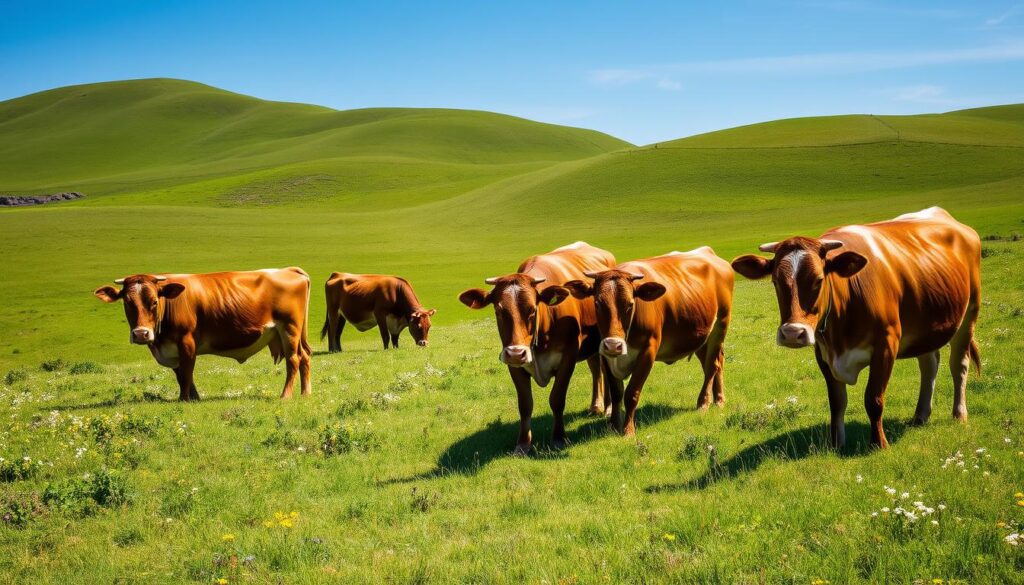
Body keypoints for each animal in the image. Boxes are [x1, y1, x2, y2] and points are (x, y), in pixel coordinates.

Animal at [95, 268, 311, 401]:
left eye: (154, 301)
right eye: (127, 302)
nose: (141, 334)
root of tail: (288, 269)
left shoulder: (186, 342)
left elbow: (186, 373)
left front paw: (183, 399)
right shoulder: (172, 350)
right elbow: (180, 374)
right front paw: (194, 397)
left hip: (289, 328)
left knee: (293, 359)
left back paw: (286, 395)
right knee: (305, 356)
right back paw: (305, 393)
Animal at [458, 240, 614, 454]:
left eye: (532, 309)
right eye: (498, 310)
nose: (516, 353)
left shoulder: (568, 358)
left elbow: (557, 399)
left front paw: (559, 438)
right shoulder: (514, 364)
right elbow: (525, 404)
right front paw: (523, 444)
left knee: (605, 371)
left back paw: (608, 408)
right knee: (596, 370)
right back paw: (595, 406)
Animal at [561, 246, 737, 434]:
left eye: (630, 304)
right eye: (597, 303)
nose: (614, 345)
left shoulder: (648, 350)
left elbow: (631, 393)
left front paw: (628, 431)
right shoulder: (605, 354)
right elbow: (616, 393)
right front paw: (614, 426)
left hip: (720, 325)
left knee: (712, 365)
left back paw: (704, 402)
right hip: (701, 335)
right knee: (715, 362)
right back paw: (718, 399)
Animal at [733, 206, 978, 448]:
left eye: (819, 280)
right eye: (775, 281)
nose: (793, 333)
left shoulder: (886, 344)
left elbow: (874, 398)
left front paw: (879, 444)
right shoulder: (823, 353)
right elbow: (837, 402)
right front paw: (836, 445)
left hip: (969, 313)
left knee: (959, 365)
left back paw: (959, 414)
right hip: (926, 327)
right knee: (929, 364)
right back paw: (920, 415)